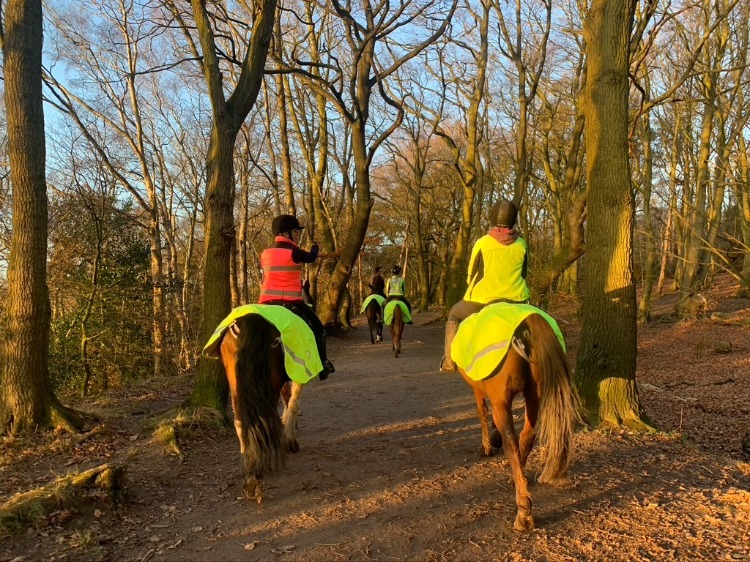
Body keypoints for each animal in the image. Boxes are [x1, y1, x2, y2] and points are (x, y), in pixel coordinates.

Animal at [214, 312, 302, 500]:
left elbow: (288, 398)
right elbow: (293, 401)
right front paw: (290, 440)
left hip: (236, 385)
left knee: (241, 423)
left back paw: (250, 477)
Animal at [458, 312, 580, 532]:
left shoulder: (479, 389)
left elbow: (482, 412)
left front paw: (487, 446)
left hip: (503, 400)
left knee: (512, 443)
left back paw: (523, 513)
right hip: (534, 396)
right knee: (527, 436)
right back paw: (517, 481)